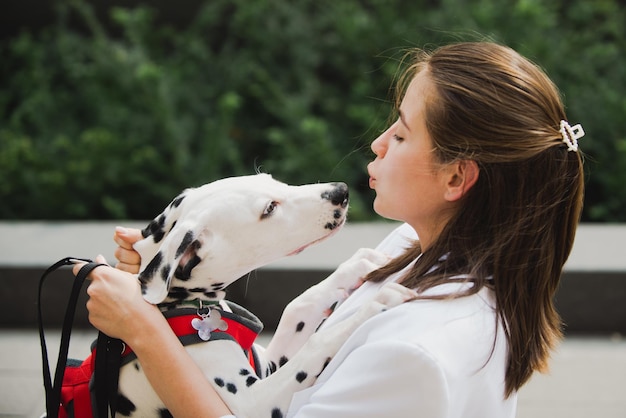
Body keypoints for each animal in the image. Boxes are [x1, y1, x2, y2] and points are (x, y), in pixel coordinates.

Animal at [115, 174, 414, 418]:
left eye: (271, 179)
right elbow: (317, 341)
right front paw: (376, 302)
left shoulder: (270, 364)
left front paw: (357, 265)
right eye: (270, 208)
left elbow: (299, 304)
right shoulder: (253, 403)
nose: (341, 190)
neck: (179, 304)